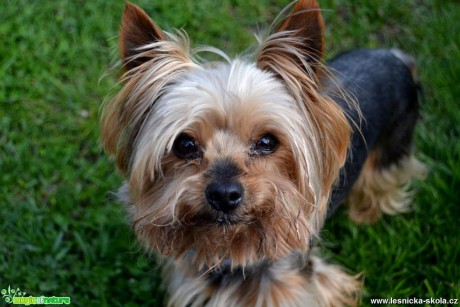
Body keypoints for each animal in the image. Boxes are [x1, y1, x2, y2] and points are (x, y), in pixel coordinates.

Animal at [100, 1, 424, 306]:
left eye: (267, 141)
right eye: (184, 145)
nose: (224, 195)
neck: (231, 250)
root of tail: (394, 56)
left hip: (394, 142)